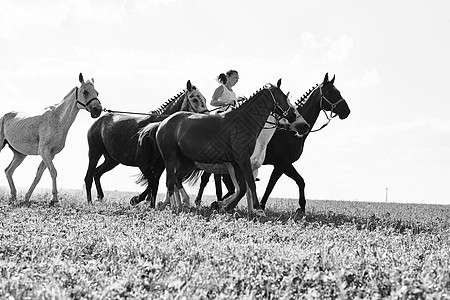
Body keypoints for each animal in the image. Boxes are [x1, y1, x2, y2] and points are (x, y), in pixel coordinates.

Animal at [0, 73, 102, 205]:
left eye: (97, 93)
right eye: (85, 91)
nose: (97, 110)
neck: (57, 119)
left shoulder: (51, 153)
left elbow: (39, 174)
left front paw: (27, 197)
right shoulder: (44, 151)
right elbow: (53, 172)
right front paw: (54, 199)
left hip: (20, 155)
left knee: (8, 171)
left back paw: (13, 196)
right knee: (8, 171)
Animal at [155, 78, 298, 217]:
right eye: (285, 97)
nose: (293, 116)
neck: (243, 122)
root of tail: (163, 123)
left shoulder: (236, 163)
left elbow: (242, 188)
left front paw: (225, 207)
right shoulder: (243, 160)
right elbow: (250, 185)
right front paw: (258, 210)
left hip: (187, 162)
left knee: (176, 178)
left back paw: (182, 204)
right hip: (170, 159)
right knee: (170, 182)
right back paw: (174, 207)